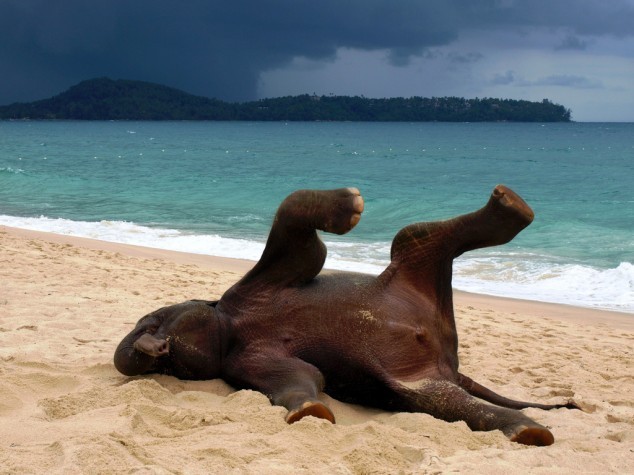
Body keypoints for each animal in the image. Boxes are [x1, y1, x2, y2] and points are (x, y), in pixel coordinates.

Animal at [112, 185, 572, 446]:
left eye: (152, 319)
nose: (153, 345)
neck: (232, 326)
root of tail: (451, 359)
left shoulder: (261, 282)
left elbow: (296, 231)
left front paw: (346, 205)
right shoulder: (246, 361)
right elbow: (301, 380)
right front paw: (309, 413)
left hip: (409, 273)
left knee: (413, 234)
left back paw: (512, 206)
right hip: (422, 379)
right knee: (442, 401)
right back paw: (528, 431)